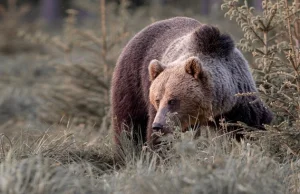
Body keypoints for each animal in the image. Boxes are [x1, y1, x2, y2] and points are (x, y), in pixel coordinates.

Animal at [111, 16, 274, 146]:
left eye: (172, 100)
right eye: (157, 99)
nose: (158, 125)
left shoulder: (240, 104)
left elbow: (253, 127)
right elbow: (158, 140)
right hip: (133, 80)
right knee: (128, 124)